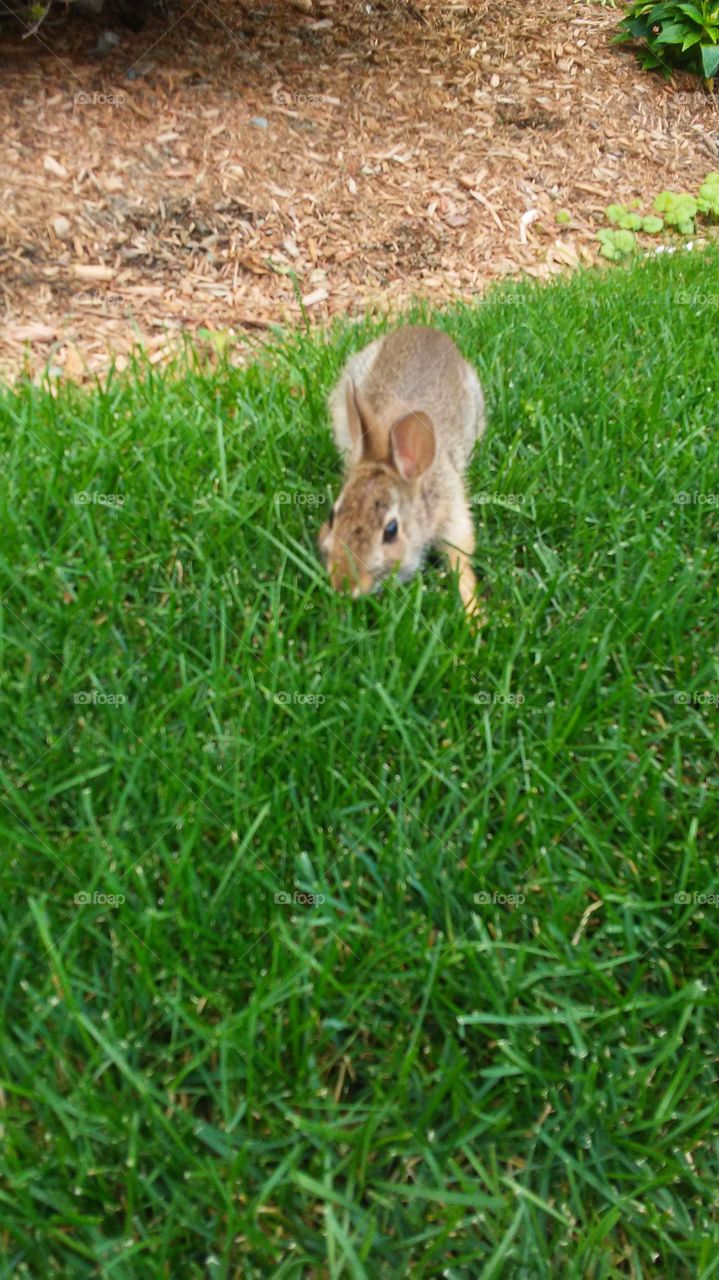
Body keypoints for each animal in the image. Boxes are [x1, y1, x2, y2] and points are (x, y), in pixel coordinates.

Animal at [318, 325, 485, 619]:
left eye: (391, 530)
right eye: (332, 516)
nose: (344, 585)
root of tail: (427, 330)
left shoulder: (453, 512)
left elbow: (461, 561)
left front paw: (474, 616)